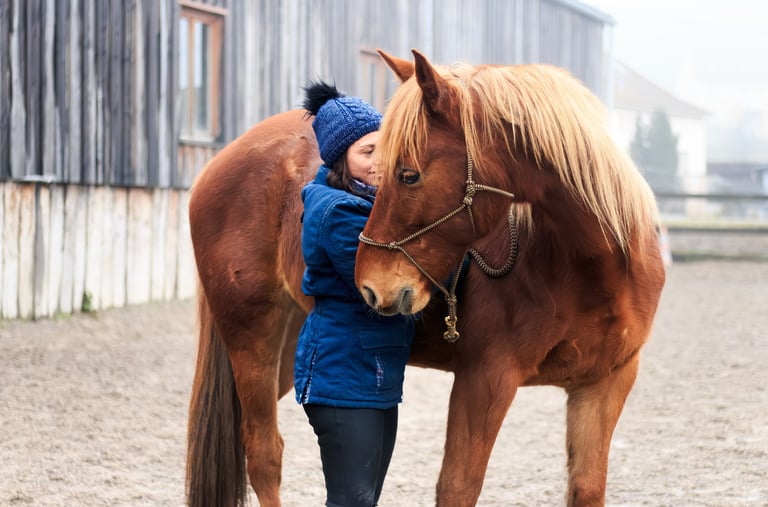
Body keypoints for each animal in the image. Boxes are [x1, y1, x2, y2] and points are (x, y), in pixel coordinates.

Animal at [354, 50, 666, 506]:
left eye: (408, 174)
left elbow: (587, 487)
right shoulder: (485, 379)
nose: (371, 286)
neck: (595, 270)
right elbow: (458, 487)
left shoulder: (604, 384)